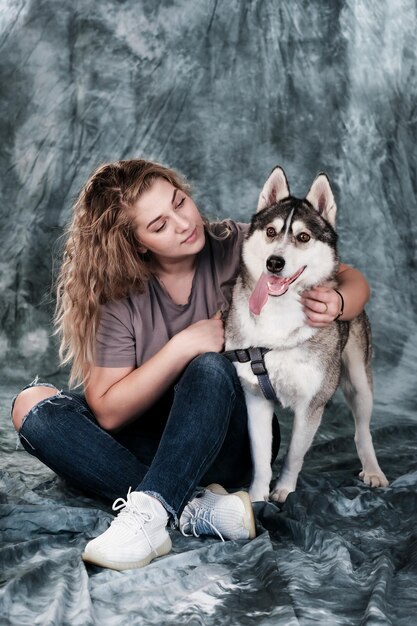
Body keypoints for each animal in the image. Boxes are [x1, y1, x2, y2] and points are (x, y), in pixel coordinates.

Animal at [226, 166, 388, 502]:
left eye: (303, 237)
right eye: (270, 232)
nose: (274, 262)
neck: (279, 316)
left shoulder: (312, 404)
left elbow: (294, 455)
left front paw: (284, 490)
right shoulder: (256, 398)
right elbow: (261, 457)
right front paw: (258, 495)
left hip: (359, 380)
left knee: (362, 430)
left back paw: (373, 469)